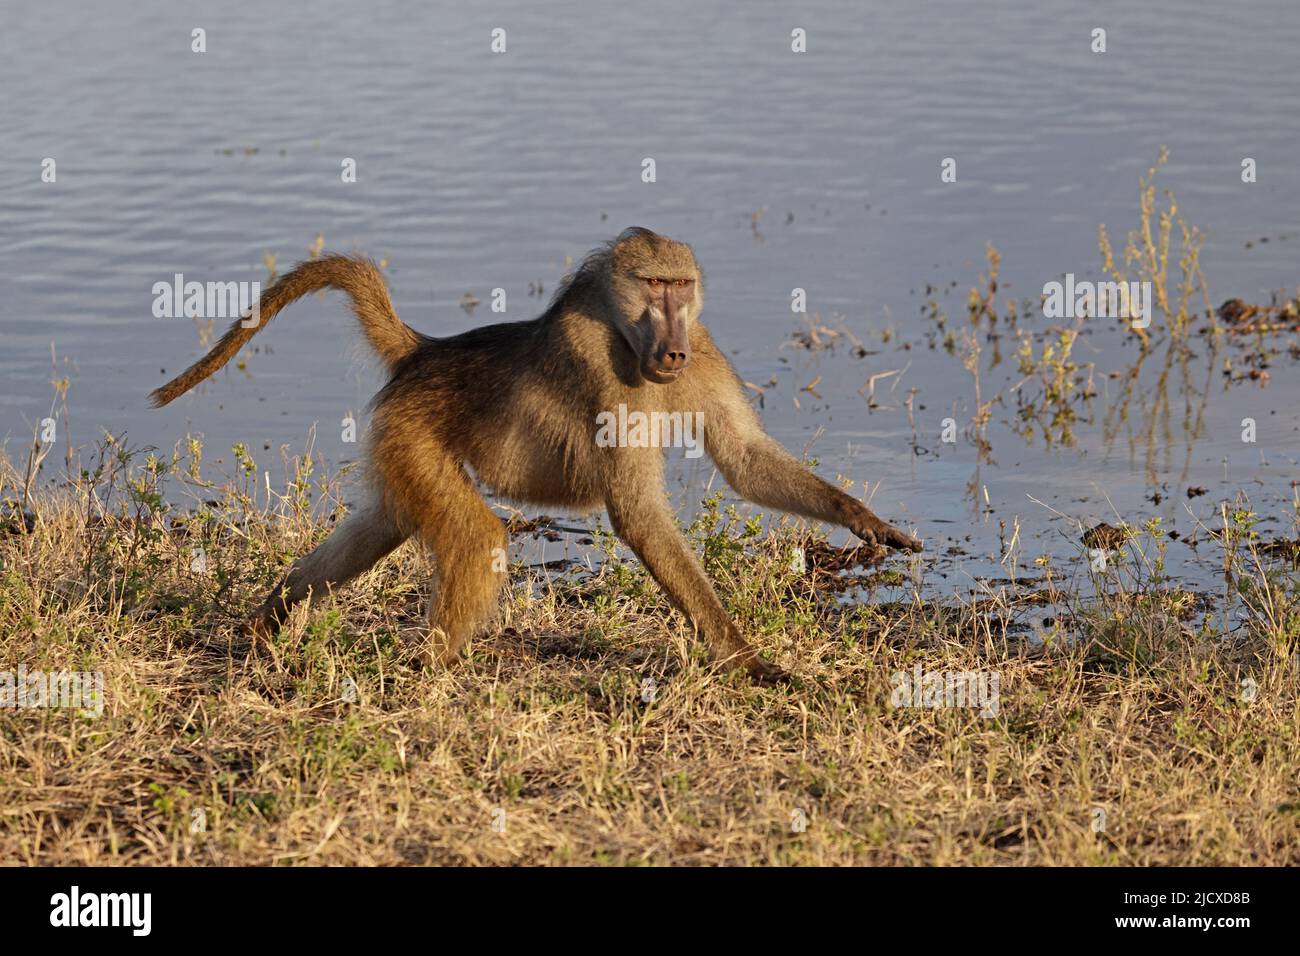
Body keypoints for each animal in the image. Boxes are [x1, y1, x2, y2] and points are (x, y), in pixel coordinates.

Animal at [150, 228, 921, 683]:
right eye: (653, 285)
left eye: (682, 287)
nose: (671, 344)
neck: (626, 337)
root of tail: (426, 352)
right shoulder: (600, 373)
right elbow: (637, 513)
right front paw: (748, 661)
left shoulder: (702, 351)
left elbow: (745, 459)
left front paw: (867, 521)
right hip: (412, 433)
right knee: (477, 537)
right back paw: (427, 672)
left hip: (401, 446)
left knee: (380, 525)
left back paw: (265, 623)